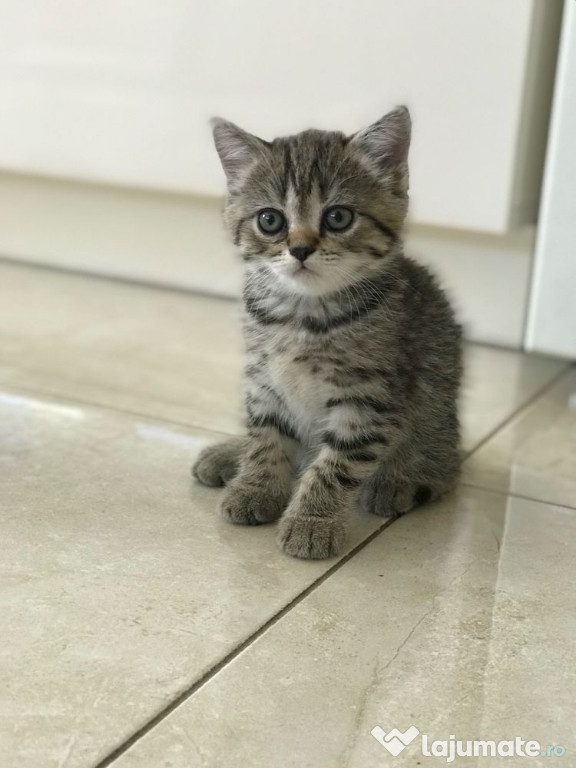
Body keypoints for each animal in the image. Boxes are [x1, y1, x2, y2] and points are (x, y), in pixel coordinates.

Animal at [194, 106, 464, 560]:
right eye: (270, 220)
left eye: (338, 217)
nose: (301, 248)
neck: (302, 316)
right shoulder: (263, 380)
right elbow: (265, 436)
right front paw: (256, 486)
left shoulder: (369, 398)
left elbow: (335, 464)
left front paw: (311, 521)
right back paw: (230, 454)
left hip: (438, 418)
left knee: (443, 464)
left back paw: (400, 480)